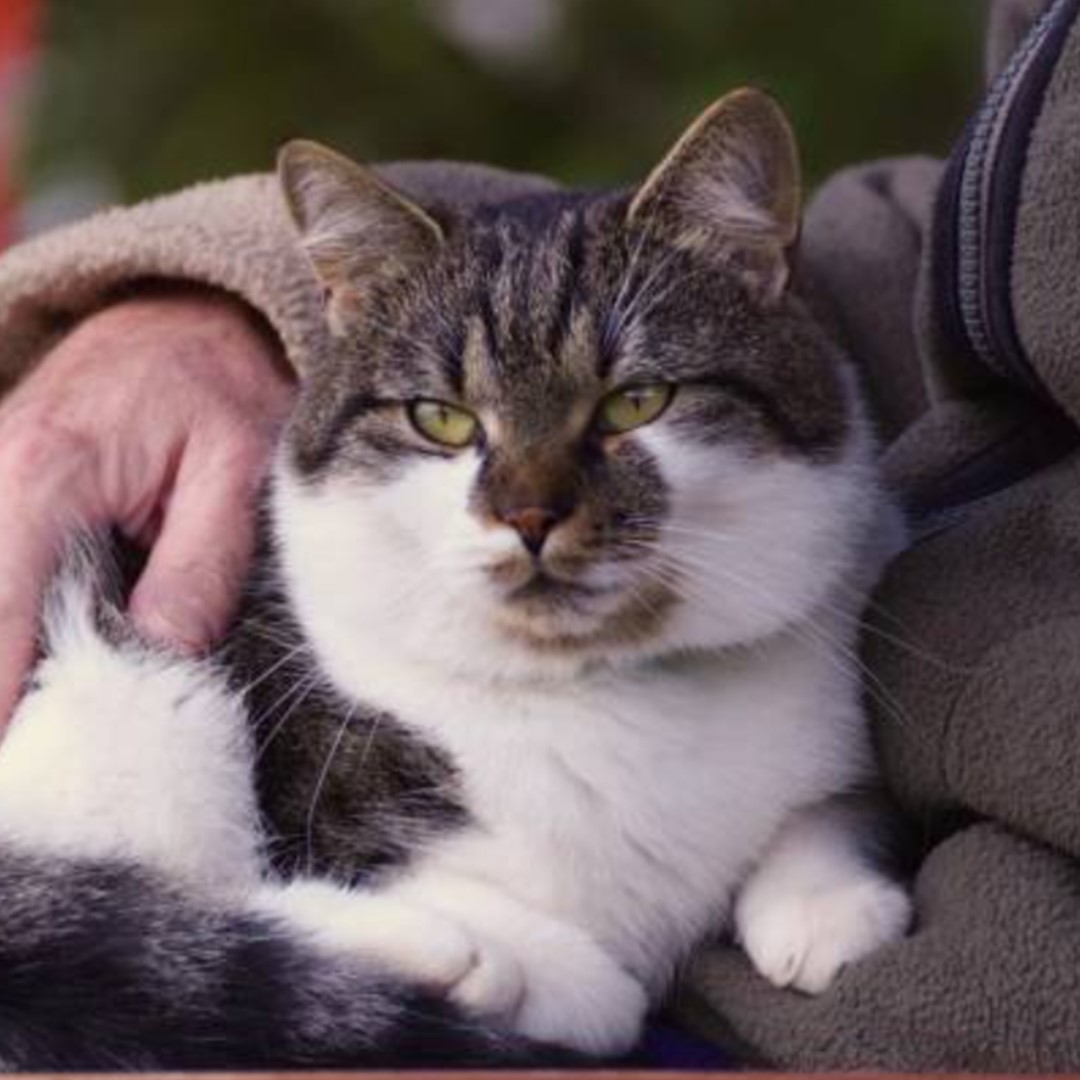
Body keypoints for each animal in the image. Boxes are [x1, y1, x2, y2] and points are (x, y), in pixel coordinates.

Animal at [0, 88, 911, 1067]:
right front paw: (543, 967)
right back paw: (441, 953)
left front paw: (824, 903)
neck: (599, 688)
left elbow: (830, 803)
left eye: (636, 401)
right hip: (145, 681)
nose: (531, 516)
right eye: (441, 418)